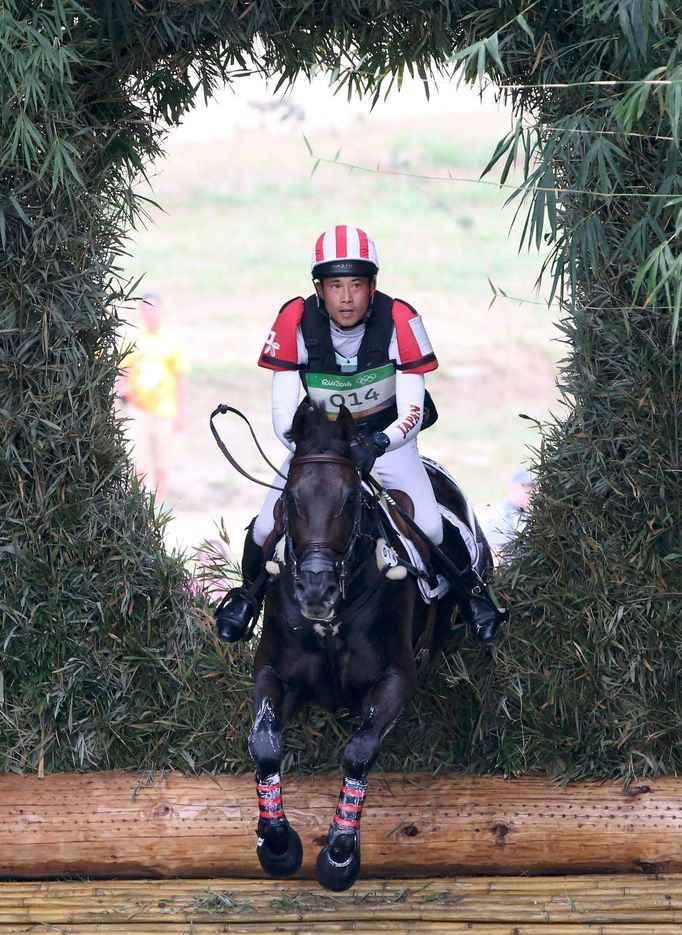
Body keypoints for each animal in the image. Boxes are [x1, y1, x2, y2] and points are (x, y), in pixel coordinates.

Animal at [247, 402, 486, 892]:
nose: (314, 588)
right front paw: (276, 844)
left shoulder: (395, 678)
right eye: (290, 498)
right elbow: (264, 742)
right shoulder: (274, 673)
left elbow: (359, 751)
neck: (331, 620)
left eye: (351, 500)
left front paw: (339, 854)